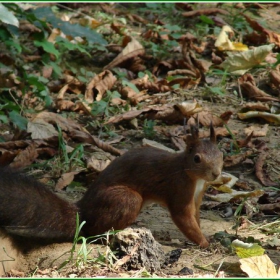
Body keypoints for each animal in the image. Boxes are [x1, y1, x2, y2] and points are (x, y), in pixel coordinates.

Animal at [0, 123, 223, 248]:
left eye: (221, 154)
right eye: (197, 158)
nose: (216, 173)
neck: (192, 175)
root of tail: (84, 211)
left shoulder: (197, 195)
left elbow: (195, 217)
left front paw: (208, 237)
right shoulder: (178, 188)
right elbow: (184, 218)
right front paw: (205, 243)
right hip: (126, 199)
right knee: (93, 232)